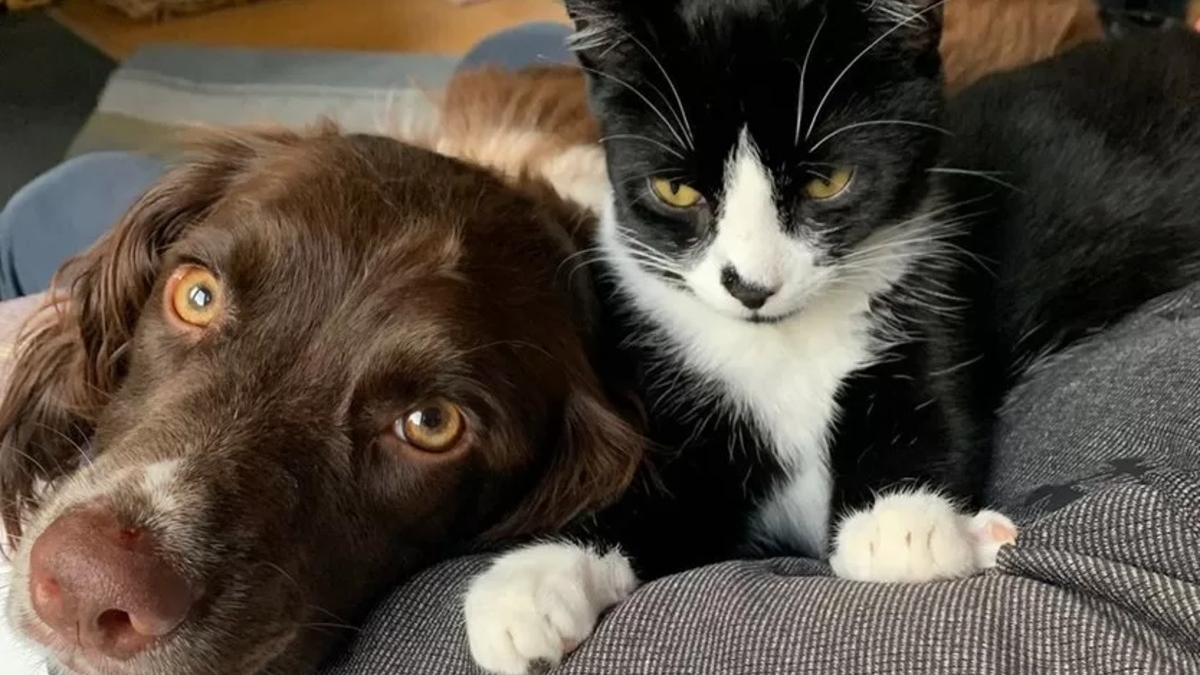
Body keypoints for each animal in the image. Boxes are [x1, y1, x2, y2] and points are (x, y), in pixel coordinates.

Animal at [458, 2, 1200, 667]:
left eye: (828, 182)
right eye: (676, 191)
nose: (750, 286)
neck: (782, 343)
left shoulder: (933, 286)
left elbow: (927, 406)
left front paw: (900, 524)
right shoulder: (683, 389)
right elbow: (664, 495)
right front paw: (529, 584)